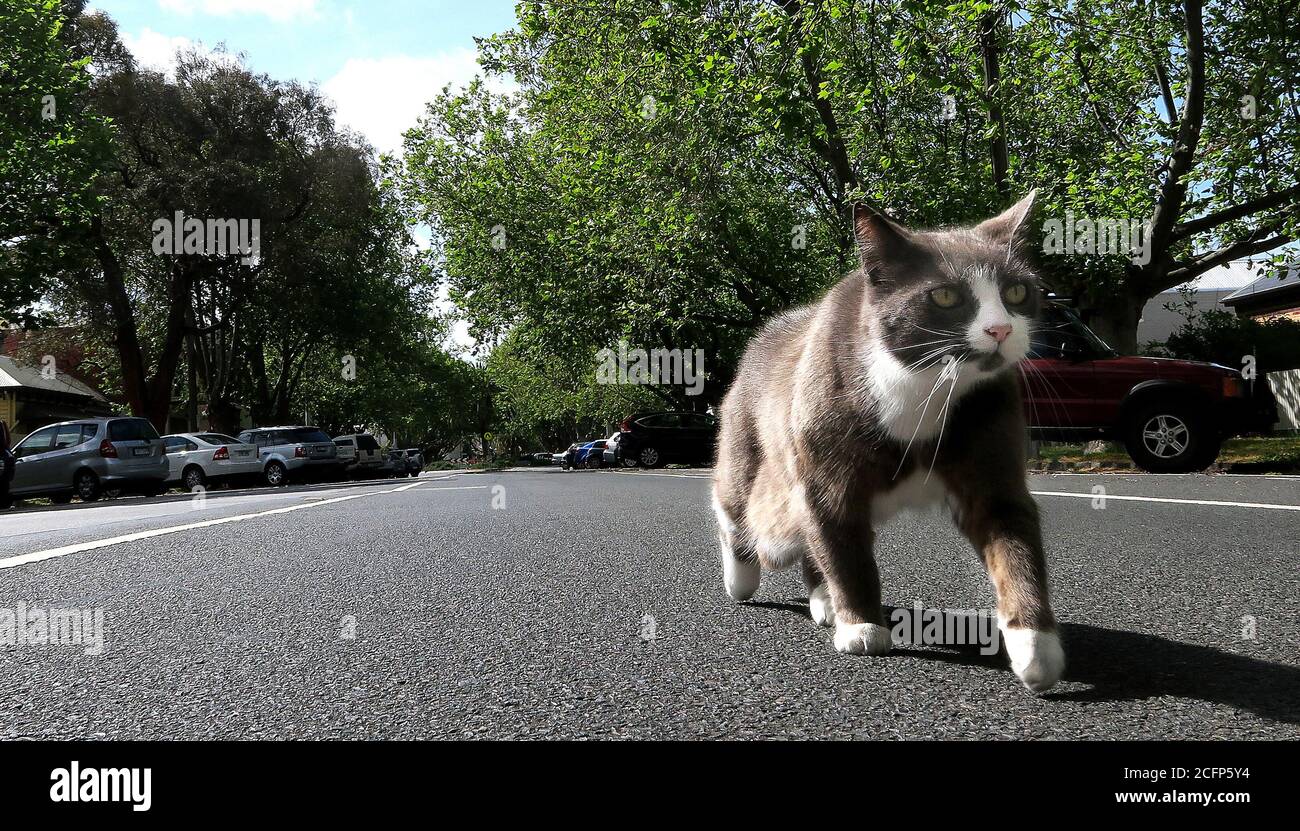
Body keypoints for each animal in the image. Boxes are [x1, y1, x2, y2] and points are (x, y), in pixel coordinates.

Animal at [712, 192, 1066, 691]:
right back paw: (741, 577)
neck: (924, 387)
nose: (1001, 329)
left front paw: (1035, 645)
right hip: (749, 443)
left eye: (1017, 292)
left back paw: (823, 600)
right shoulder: (825, 475)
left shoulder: (992, 451)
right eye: (945, 296)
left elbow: (1015, 546)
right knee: (740, 508)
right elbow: (842, 544)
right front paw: (862, 626)